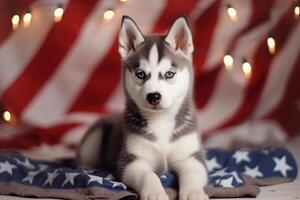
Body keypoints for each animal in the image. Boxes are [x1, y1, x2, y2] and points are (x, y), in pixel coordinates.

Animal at [77, 16, 207, 200]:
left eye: (169, 74)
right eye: (140, 74)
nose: (153, 96)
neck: (161, 120)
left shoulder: (192, 157)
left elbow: (192, 174)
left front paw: (193, 193)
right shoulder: (131, 161)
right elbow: (148, 175)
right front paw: (155, 193)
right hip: (94, 137)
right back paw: (88, 168)